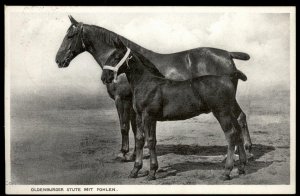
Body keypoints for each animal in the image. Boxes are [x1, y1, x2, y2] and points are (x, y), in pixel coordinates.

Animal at [55, 14, 252, 159]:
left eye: (70, 36)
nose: (58, 60)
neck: (128, 66)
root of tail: (228, 54)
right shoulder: (135, 105)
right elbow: (136, 129)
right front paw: (135, 154)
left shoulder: (121, 100)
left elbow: (124, 126)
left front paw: (123, 153)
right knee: (240, 117)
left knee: (238, 119)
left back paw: (240, 152)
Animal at [101, 39, 246, 181]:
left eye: (116, 57)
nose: (104, 78)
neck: (146, 83)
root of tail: (228, 78)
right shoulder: (140, 116)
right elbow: (140, 139)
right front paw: (135, 170)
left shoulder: (149, 116)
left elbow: (150, 140)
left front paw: (152, 172)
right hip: (229, 112)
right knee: (239, 131)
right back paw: (241, 167)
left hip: (222, 113)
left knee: (231, 135)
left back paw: (227, 171)